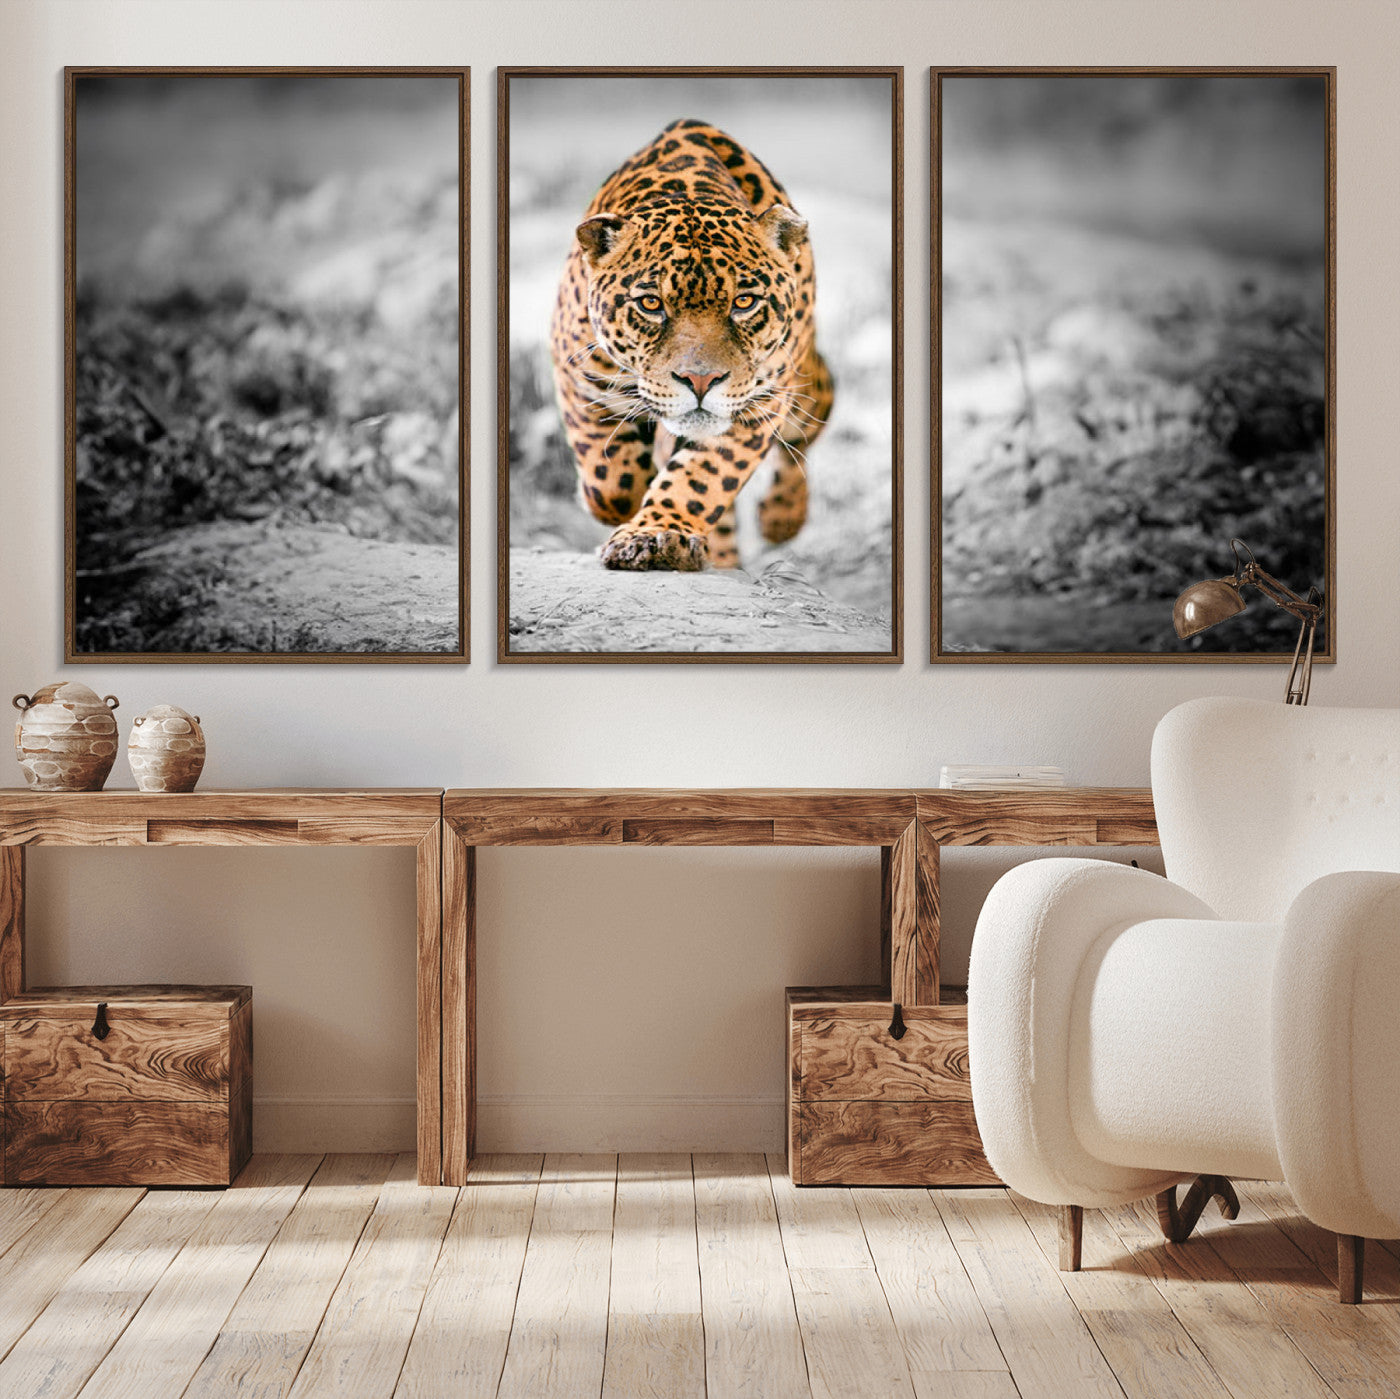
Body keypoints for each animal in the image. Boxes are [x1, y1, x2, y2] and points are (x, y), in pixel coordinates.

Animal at [549, 118, 834, 571]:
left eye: (744, 302)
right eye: (651, 304)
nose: (700, 381)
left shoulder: (759, 403)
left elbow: (703, 478)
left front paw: (656, 535)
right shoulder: (580, 376)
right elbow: (610, 481)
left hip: (802, 387)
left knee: (810, 423)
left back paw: (781, 518)